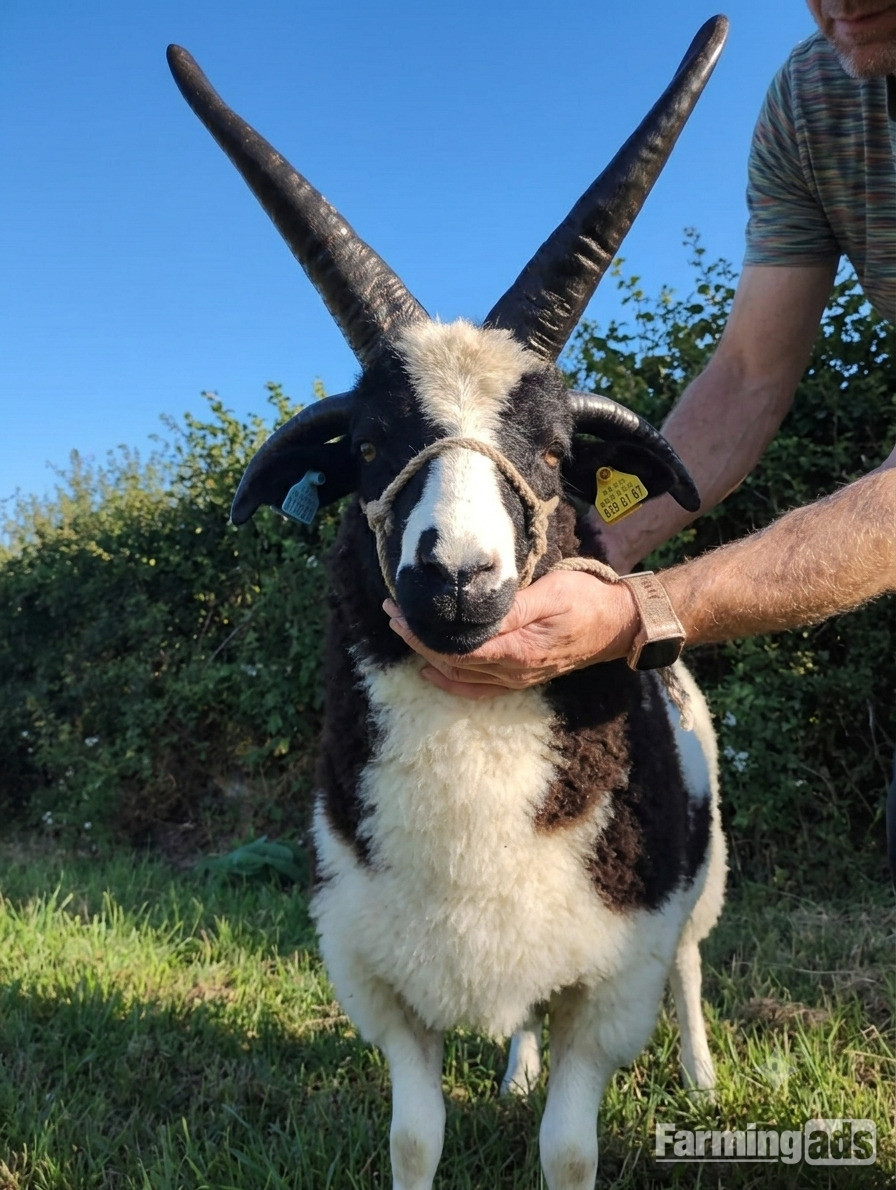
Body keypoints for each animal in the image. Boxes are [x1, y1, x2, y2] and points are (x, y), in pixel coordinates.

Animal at [168, 17, 729, 1190]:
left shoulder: (612, 986)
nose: (456, 578)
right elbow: (414, 1137)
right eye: (371, 447)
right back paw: (512, 1069)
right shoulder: (376, 980)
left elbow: (568, 1149)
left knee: (695, 969)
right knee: (524, 1017)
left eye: (557, 454)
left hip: (700, 883)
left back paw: (702, 1078)